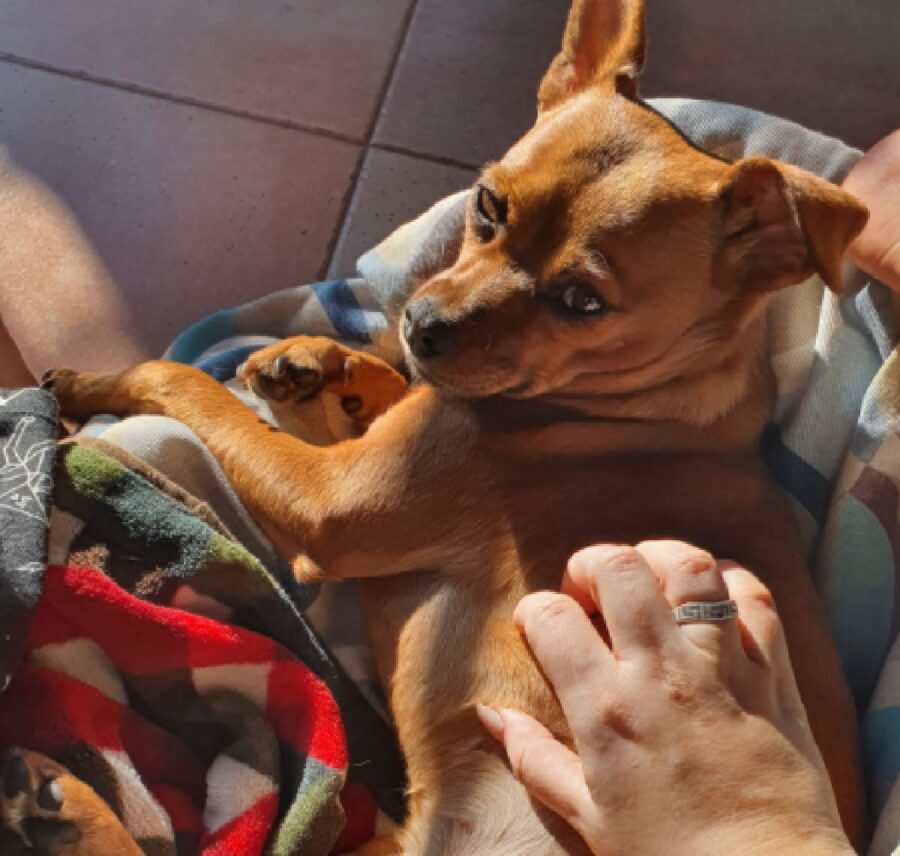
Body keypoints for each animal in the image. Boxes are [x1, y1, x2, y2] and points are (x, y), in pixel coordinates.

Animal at [44, 3, 872, 852]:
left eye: (582, 302)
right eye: (486, 205)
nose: (422, 323)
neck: (656, 401)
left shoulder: (330, 505)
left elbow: (178, 380)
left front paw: (95, 382)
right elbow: (376, 388)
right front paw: (319, 364)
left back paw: (62, 798)